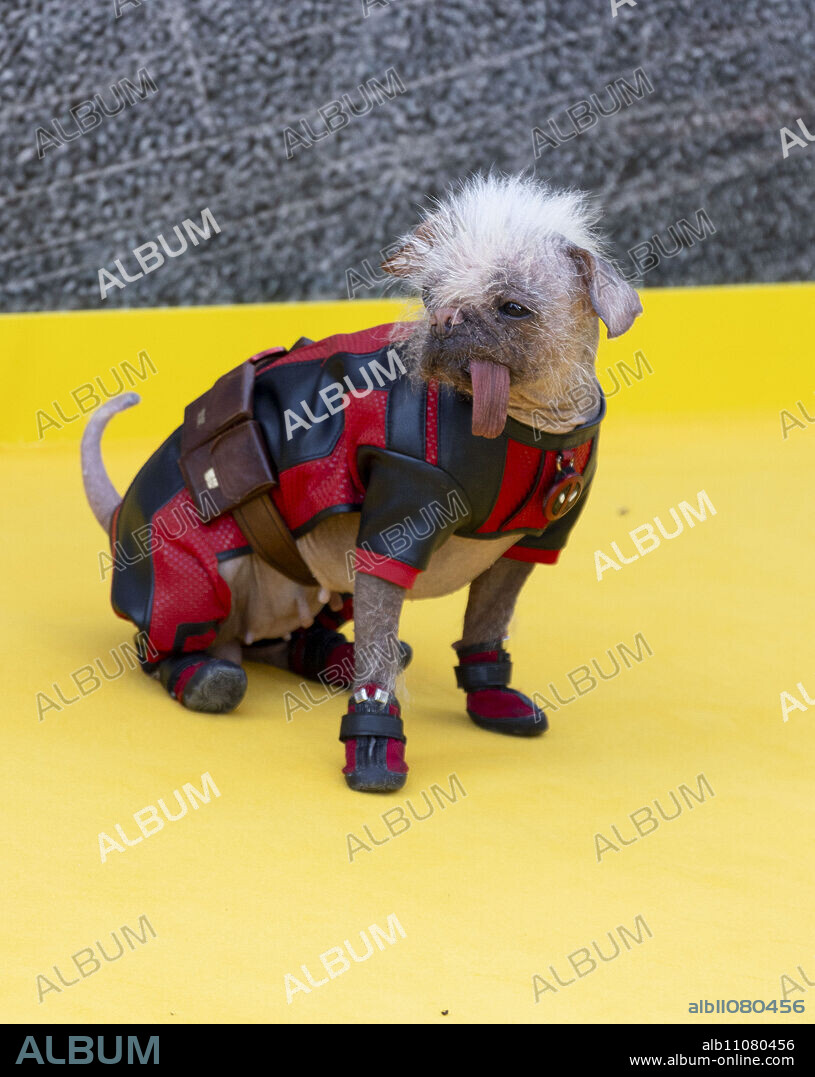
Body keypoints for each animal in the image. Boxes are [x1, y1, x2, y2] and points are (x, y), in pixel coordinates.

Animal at [82, 174, 641, 792]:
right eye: (431, 297)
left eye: (514, 307)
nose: (447, 320)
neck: (531, 425)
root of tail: (119, 515)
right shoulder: (390, 537)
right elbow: (381, 655)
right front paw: (375, 747)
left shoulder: (526, 549)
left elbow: (486, 626)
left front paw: (490, 697)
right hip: (199, 577)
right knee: (164, 648)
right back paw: (207, 674)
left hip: (323, 577)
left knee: (282, 640)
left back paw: (328, 655)